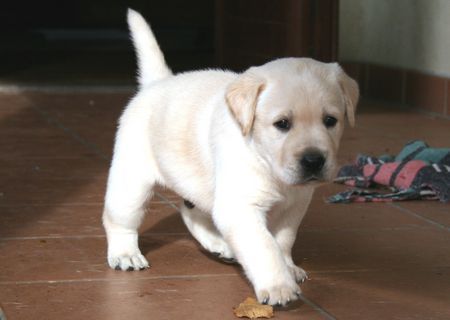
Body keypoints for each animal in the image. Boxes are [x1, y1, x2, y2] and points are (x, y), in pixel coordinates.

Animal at [103, 8, 358, 306]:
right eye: (282, 124)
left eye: (331, 121)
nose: (313, 160)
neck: (267, 163)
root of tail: (159, 82)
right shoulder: (240, 206)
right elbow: (263, 247)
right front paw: (278, 285)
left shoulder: (294, 206)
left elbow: (283, 239)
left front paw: (288, 266)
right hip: (131, 181)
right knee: (119, 219)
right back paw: (125, 254)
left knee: (191, 211)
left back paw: (219, 245)